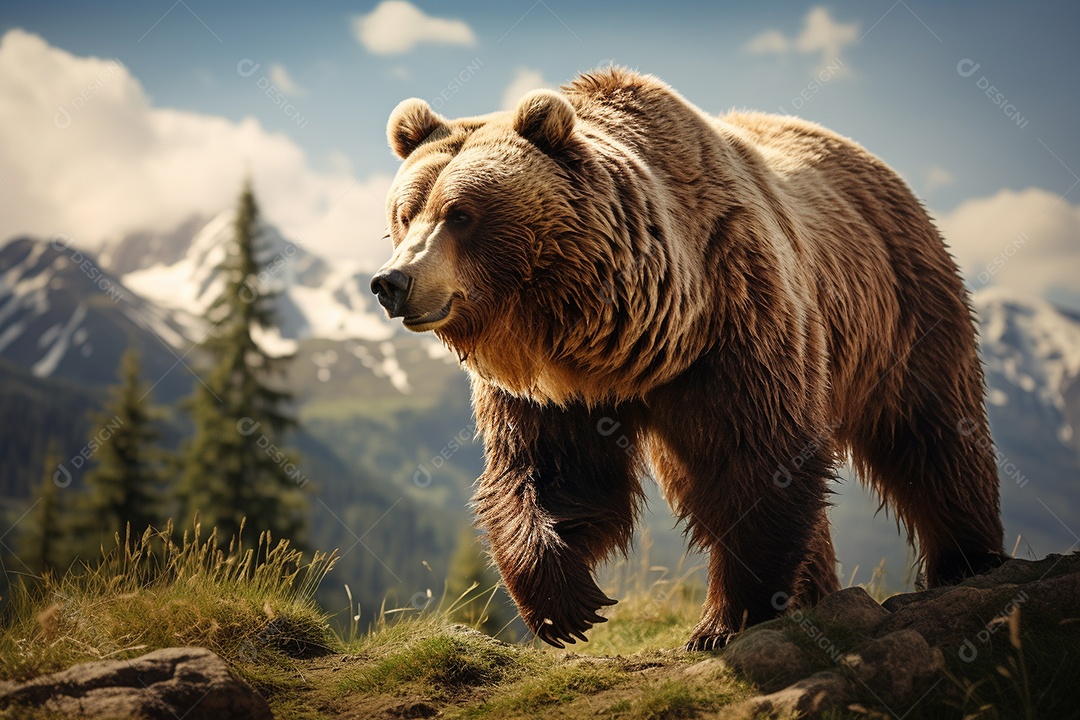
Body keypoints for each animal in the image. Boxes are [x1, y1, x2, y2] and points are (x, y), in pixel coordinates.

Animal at [370, 68, 1006, 650]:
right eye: (405, 212)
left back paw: (966, 562)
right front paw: (565, 605)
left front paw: (722, 622)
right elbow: (554, 473)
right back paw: (821, 590)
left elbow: (757, 462)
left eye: (461, 213)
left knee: (931, 435)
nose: (392, 282)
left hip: (903, 308)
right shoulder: (553, 389)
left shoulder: (736, 323)